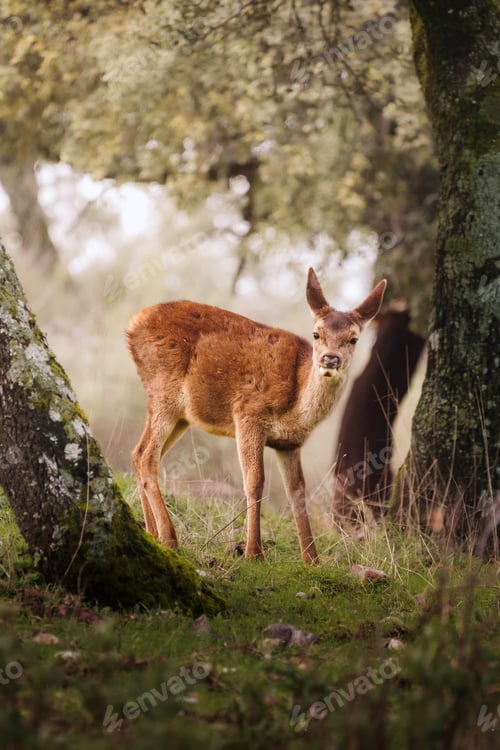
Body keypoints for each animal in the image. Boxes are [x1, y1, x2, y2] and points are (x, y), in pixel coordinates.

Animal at [126, 268, 386, 564]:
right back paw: (170, 538)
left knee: (139, 453)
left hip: (180, 414)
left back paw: (153, 533)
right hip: (164, 391)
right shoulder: (248, 413)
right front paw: (254, 552)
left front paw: (312, 559)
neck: (296, 406)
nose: (330, 359)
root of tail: (132, 325)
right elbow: (255, 481)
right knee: (147, 456)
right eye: (316, 334)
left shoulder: (290, 443)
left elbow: (297, 491)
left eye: (353, 339)